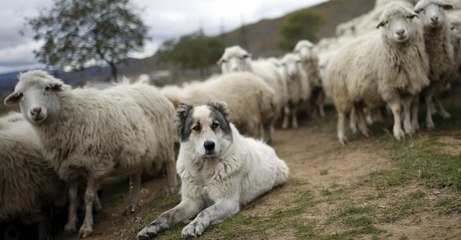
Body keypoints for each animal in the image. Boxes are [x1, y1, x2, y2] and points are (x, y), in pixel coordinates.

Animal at [5, 70, 178, 238]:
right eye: (21, 94)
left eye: (47, 88)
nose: (35, 111)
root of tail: (149, 88)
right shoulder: (70, 168)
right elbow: (72, 197)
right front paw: (70, 225)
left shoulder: (97, 165)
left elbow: (88, 196)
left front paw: (86, 227)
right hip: (136, 151)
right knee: (136, 174)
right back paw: (132, 204)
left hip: (164, 138)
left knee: (170, 161)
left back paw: (171, 187)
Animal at [136, 100, 288, 239]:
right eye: (196, 127)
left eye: (215, 125)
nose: (209, 145)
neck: (204, 168)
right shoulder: (191, 201)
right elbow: (167, 214)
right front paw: (149, 229)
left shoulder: (227, 201)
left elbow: (205, 212)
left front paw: (192, 226)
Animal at [328, 2, 428, 144]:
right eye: (386, 22)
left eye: (408, 17)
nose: (400, 32)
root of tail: (336, 54)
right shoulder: (389, 88)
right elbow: (397, 110)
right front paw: (398, 132)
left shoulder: (409, 86)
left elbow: (407, 107)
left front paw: (409, 129)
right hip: (341, 92)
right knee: (342, 115)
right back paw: (342, 137)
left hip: (356, 92)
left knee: (359, 110)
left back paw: (365, 131)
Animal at [414, 0, 456, 128]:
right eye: (422, 10)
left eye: (440, 5)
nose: (434, 18)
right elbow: (415, 102)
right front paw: (414, 123)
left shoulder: (437, 77)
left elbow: (429, 98)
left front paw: (429, 122)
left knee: (435, 96)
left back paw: (442, 112)